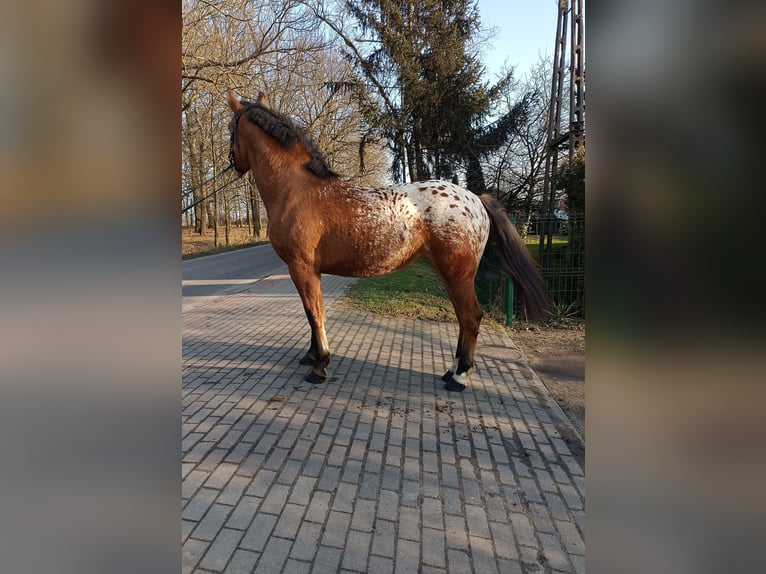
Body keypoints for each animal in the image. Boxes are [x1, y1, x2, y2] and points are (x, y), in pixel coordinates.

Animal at [225, 90, 548, 394]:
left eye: (230, 126)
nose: (234, 164)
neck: (298, 191)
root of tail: (476, 200)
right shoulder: (307, 270)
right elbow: (311, 313)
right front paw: (312, 356)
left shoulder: (301, 267)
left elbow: (314, 313)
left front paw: (320, 366)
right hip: (451, 275)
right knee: (462, 316)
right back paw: (451, 371)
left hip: (458, 275)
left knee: (471, 317)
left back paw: (459, 377)